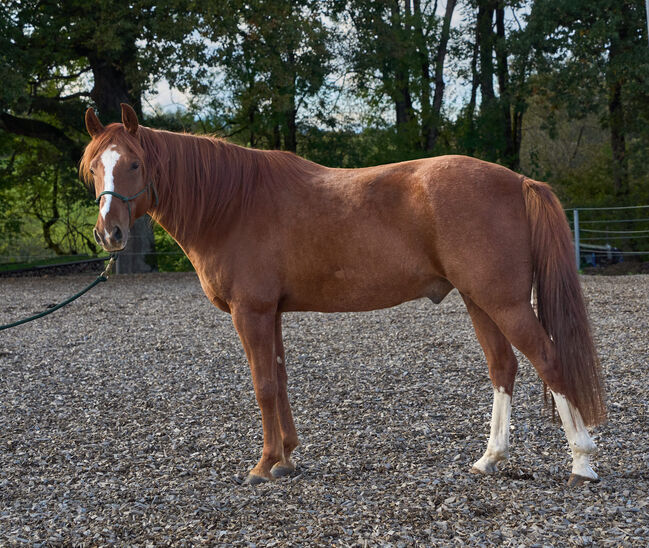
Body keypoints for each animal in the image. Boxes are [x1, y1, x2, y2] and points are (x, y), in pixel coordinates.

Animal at [82, 105, 608, 486]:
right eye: (93, 169)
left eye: (134, 163)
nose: (109, 234)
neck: (232, 203)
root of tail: (518, 181)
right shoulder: (272, 312)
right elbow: (280, 380)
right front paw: (287, 458)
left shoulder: (251, 312)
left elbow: (263, 385)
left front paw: (264, 465)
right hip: (480, 300)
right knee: (504, 368)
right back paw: (489, 458)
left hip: (506, 303)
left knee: (549, 360)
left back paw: (582, 462)